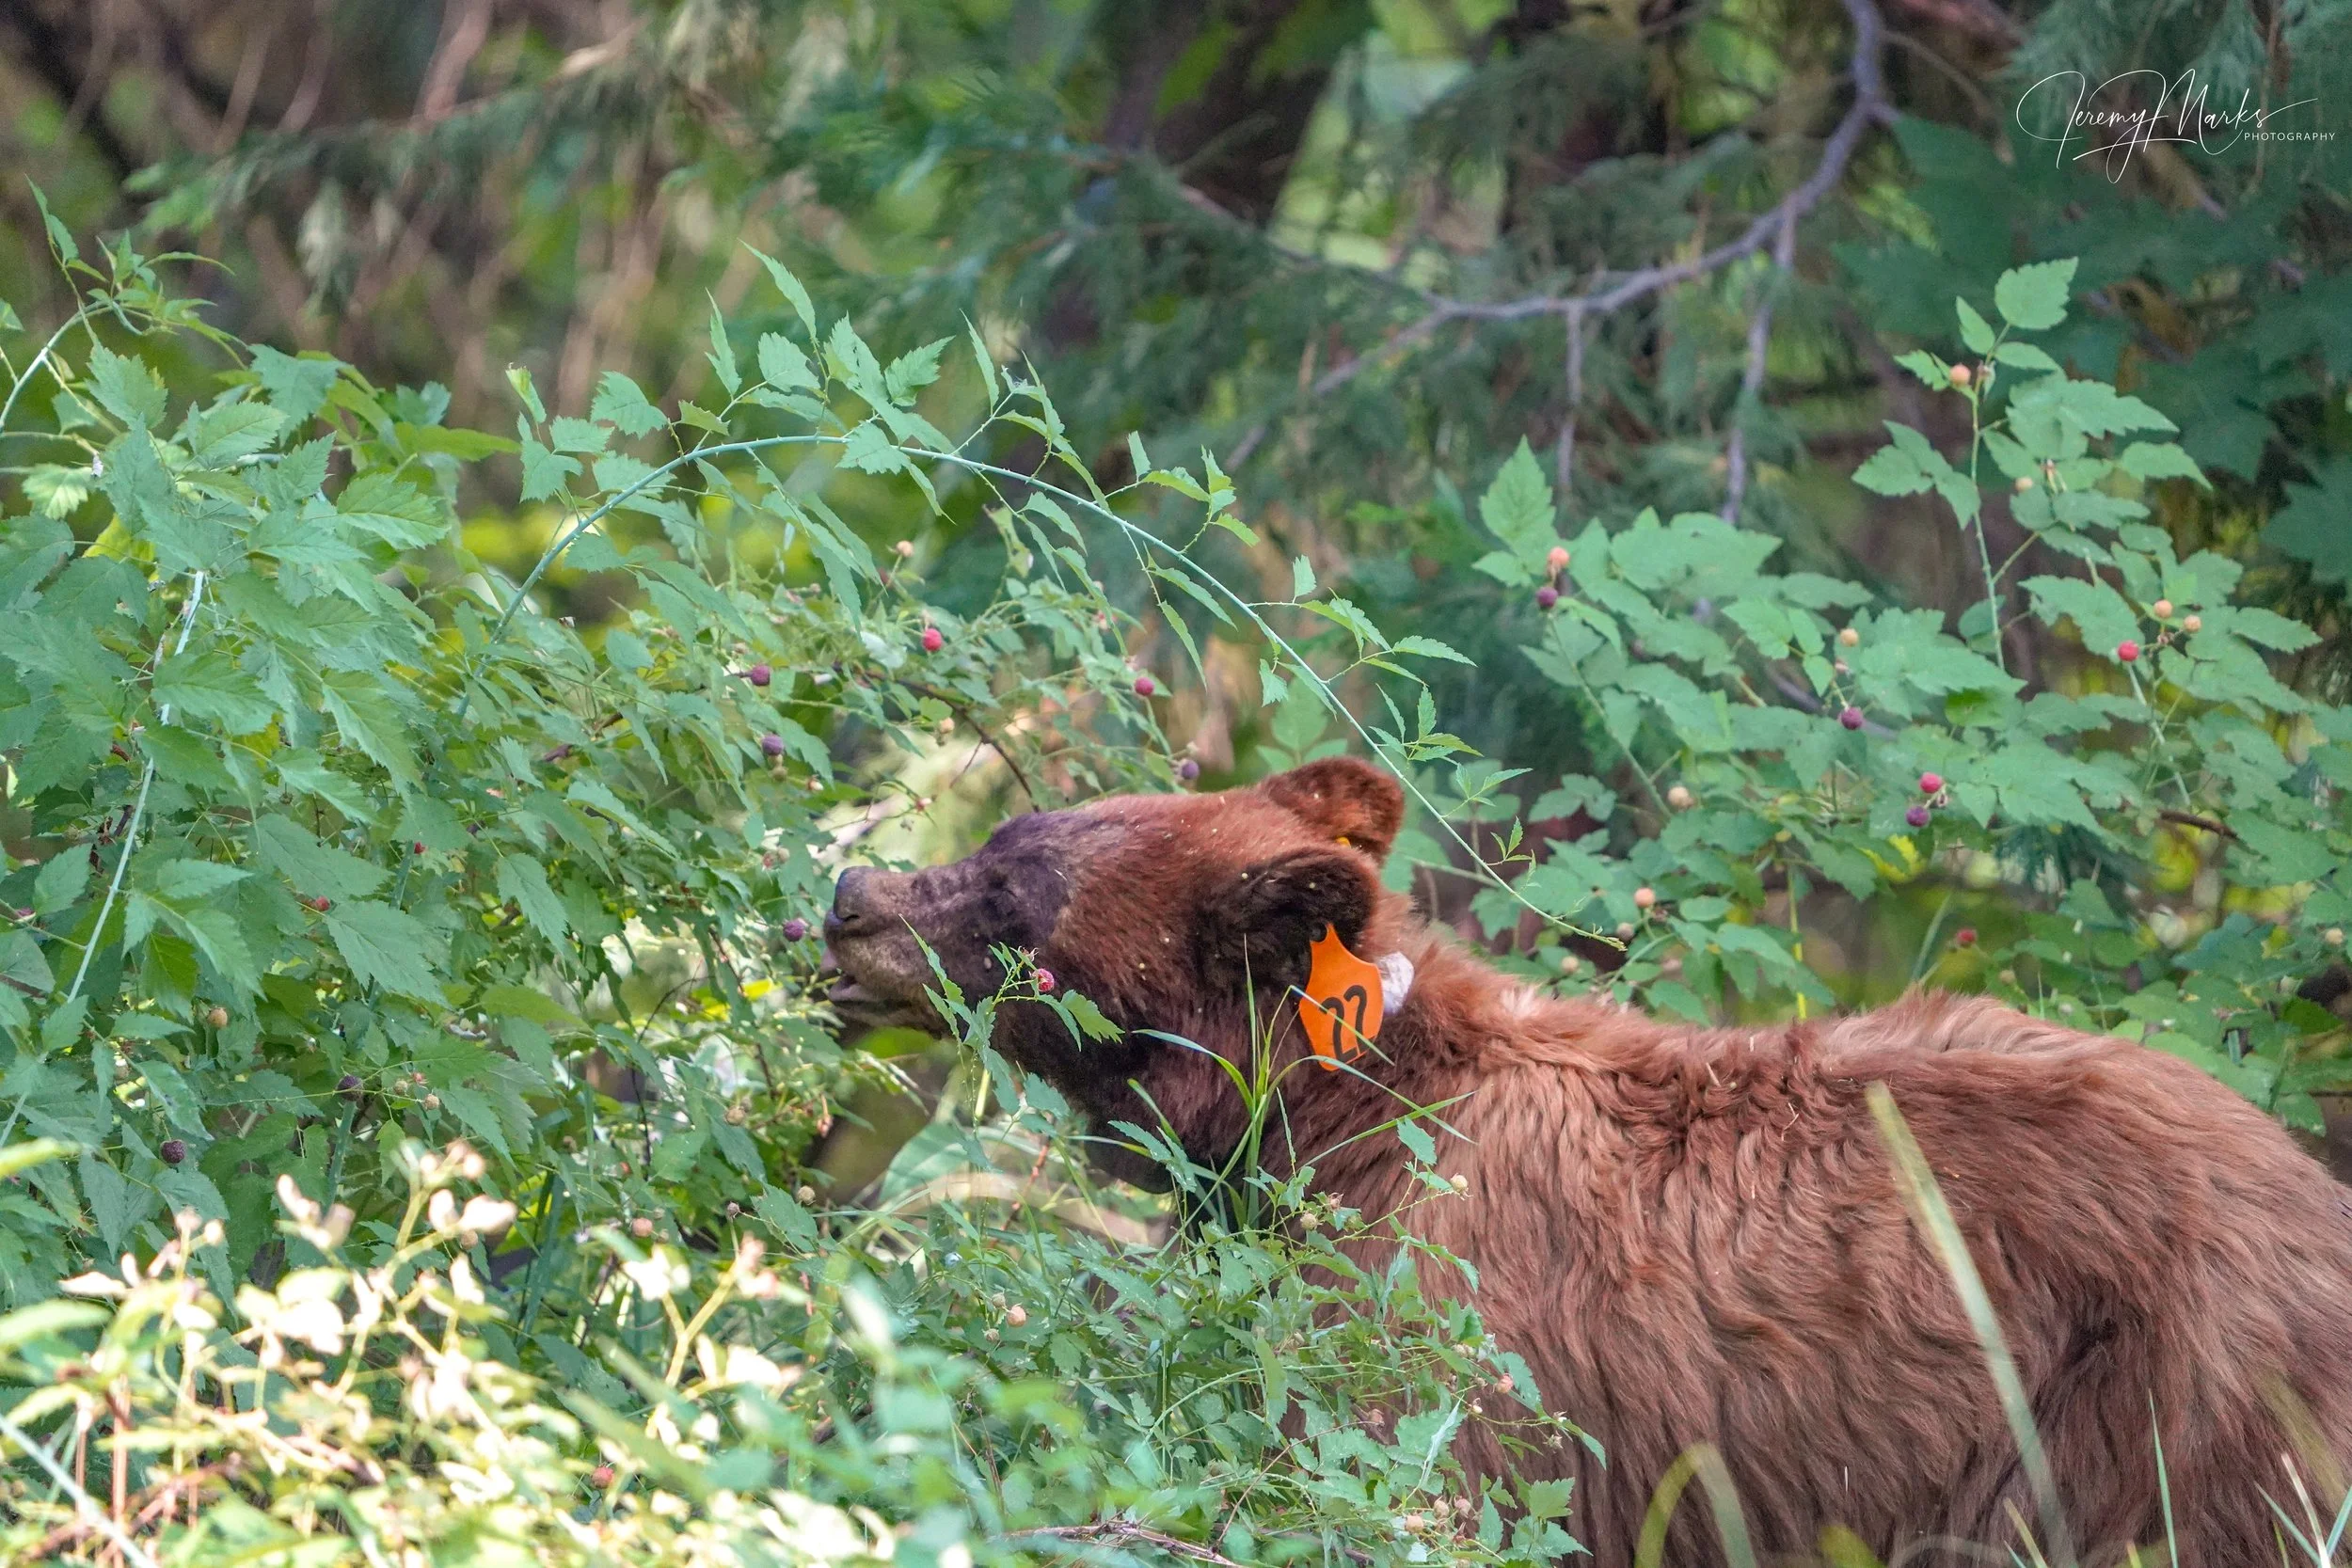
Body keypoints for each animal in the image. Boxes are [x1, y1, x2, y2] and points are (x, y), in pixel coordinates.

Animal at [822, 755, 2352, 1567]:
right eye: (1006, 837)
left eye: (1010, 893)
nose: (849, 895)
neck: (1336, 1113)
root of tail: (2312, 1193)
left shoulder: (1442, 1328)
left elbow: (1375, 1478)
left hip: (2173, 1425)